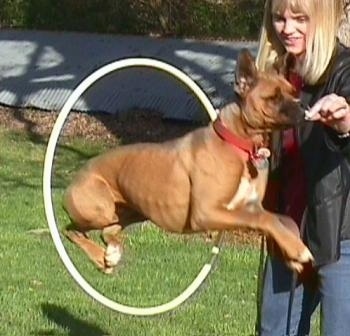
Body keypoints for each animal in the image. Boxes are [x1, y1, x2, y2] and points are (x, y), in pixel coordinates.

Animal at [61, 49, 314, 272]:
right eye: (274, 97)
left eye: (293, 92)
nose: (302, 105)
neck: (238, 145)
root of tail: (77, 176)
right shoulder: (209, 212)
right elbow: (265, 220)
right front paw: (297, 250)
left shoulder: (250, 206)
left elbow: (276, 219)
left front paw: (291, 252)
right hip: (100, 209)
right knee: (70, 229)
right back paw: (98, 256)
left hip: (130, 211)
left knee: (106, 232)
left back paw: (112, 252)